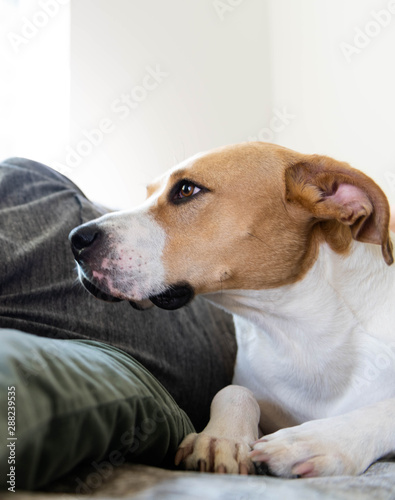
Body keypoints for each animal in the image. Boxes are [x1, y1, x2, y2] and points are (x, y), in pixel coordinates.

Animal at [69, 143, 395, 478]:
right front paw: (220, 438)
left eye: (186, 189)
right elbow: (234, 391)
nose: (75, 239)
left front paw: (315, 440)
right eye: (147, 193)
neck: (297, 330)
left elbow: (386, 411)